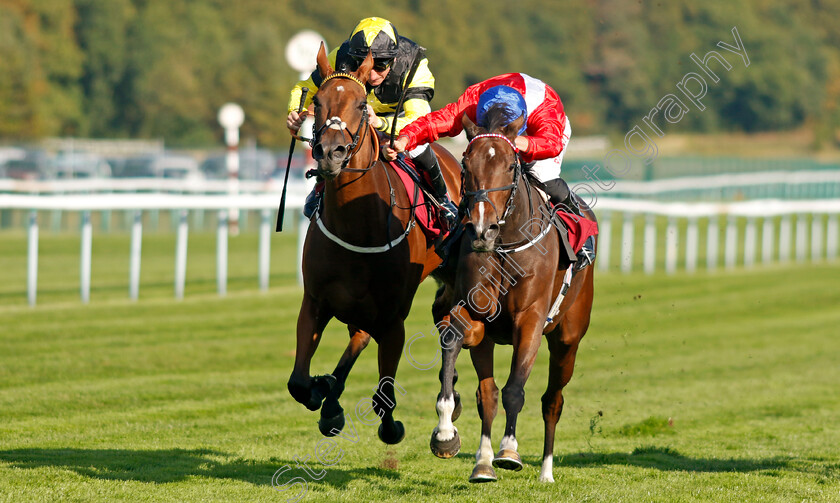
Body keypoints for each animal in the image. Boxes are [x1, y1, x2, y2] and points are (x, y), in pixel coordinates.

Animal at [286, 42, 462, 444]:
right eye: (317, 101)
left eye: (360, 102)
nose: (330, 152)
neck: (357, 226)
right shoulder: (315, 301)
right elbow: (299, 383)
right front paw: (324, 394)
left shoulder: (394, 317)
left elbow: (384, 398)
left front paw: (391, 426)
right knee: (359, 338)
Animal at [426, 108, 596, 482]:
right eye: (466, 163)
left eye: (509, 165)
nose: (481, 229)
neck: (504, 246)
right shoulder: (474, 315)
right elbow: (456, 344)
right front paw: (447, 432)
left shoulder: (530, 319)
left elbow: (515, 390)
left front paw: (509, 450)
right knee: (487, 394)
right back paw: (483, 462)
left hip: (568, 339)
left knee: (552, 401)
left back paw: (545, 470)